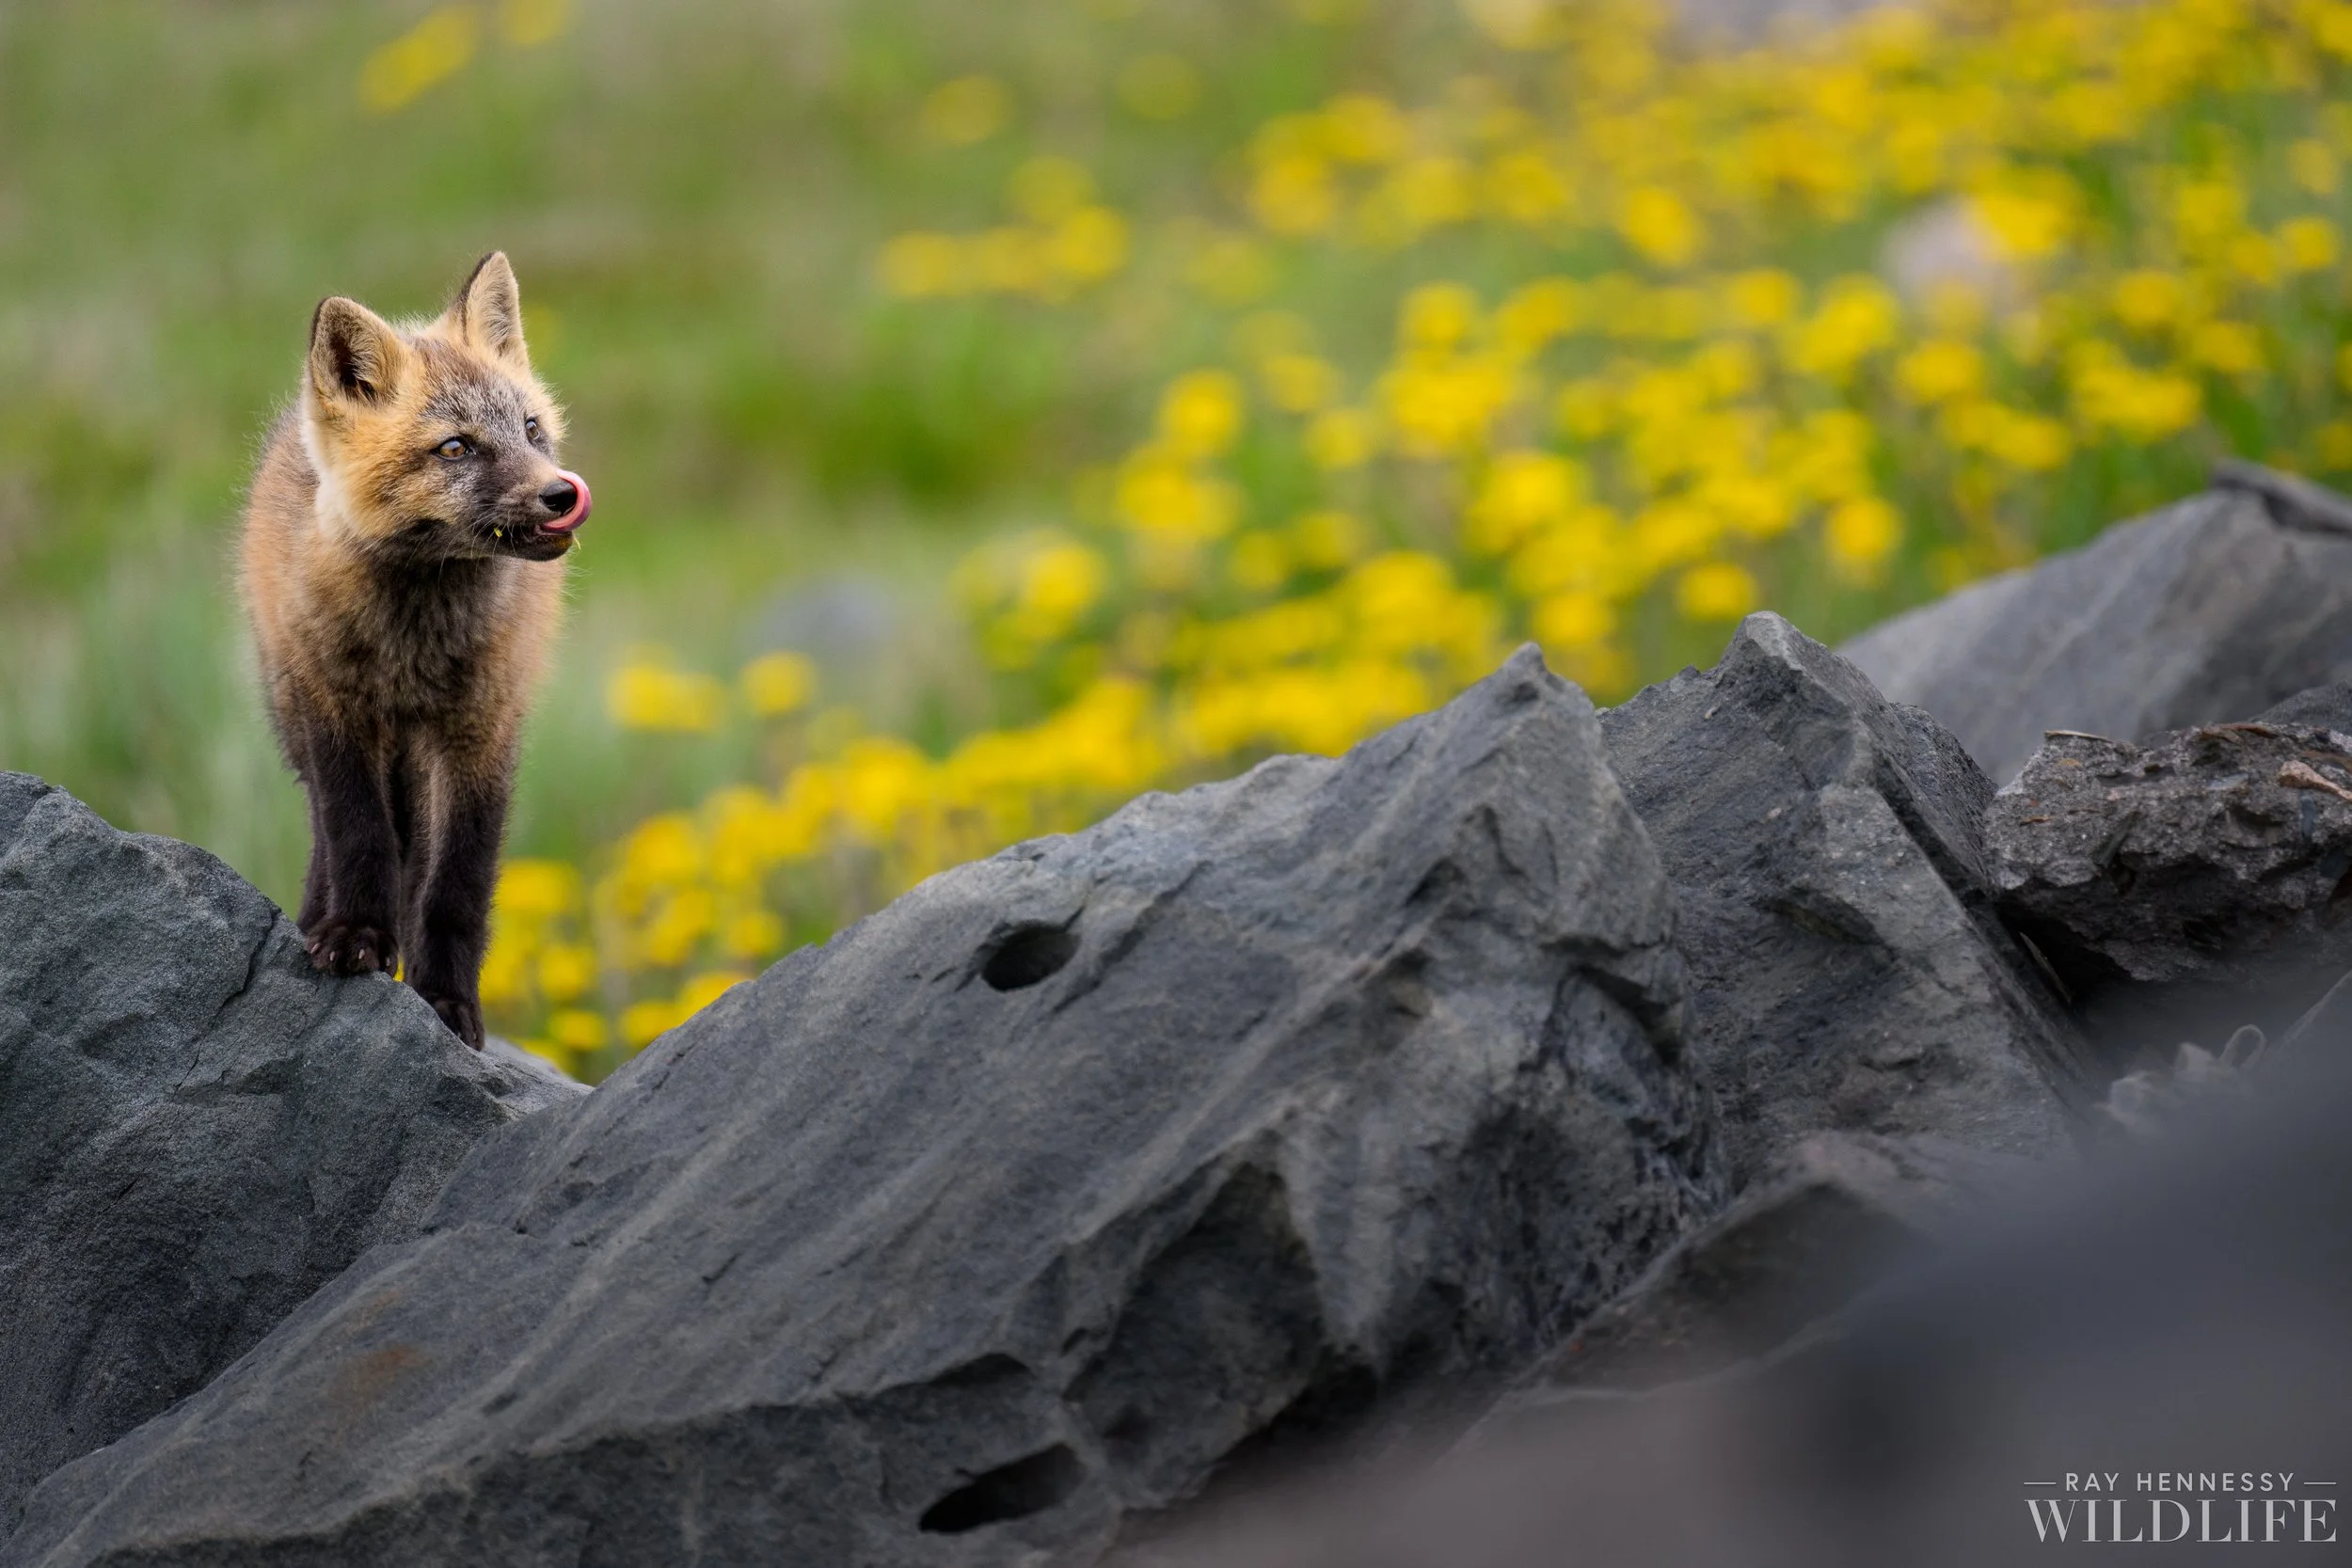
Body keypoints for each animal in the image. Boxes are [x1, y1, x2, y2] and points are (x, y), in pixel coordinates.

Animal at [240, 252, 589, 1050]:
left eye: (531, 429)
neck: (415, 646)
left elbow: (457, 883)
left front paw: (448, 1000)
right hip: (296, 715)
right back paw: (318, 918)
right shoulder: (335, 712)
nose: (562, 495)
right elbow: (357, 832)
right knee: (337, 831)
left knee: (418, 852)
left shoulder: (482, 730)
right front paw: (354, 935)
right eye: (456, 447)